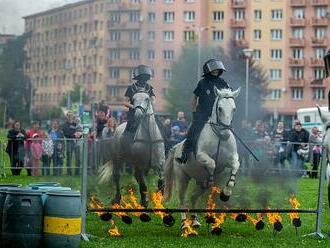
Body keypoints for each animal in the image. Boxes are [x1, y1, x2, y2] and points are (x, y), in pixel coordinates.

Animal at [164, 87, 240, 229]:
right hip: (182, 177)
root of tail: (177, 147)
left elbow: (235, 165)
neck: (219, 136)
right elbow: (212, 163)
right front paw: (211, 178)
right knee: (182, 199)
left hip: (198, 183)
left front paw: (226, 193)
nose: (227, 133)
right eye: (220, 108)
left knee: (193, 197)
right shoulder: (201, 156)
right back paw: (184, 224)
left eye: (234, 109)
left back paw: (194, 221)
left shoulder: (231, 159)